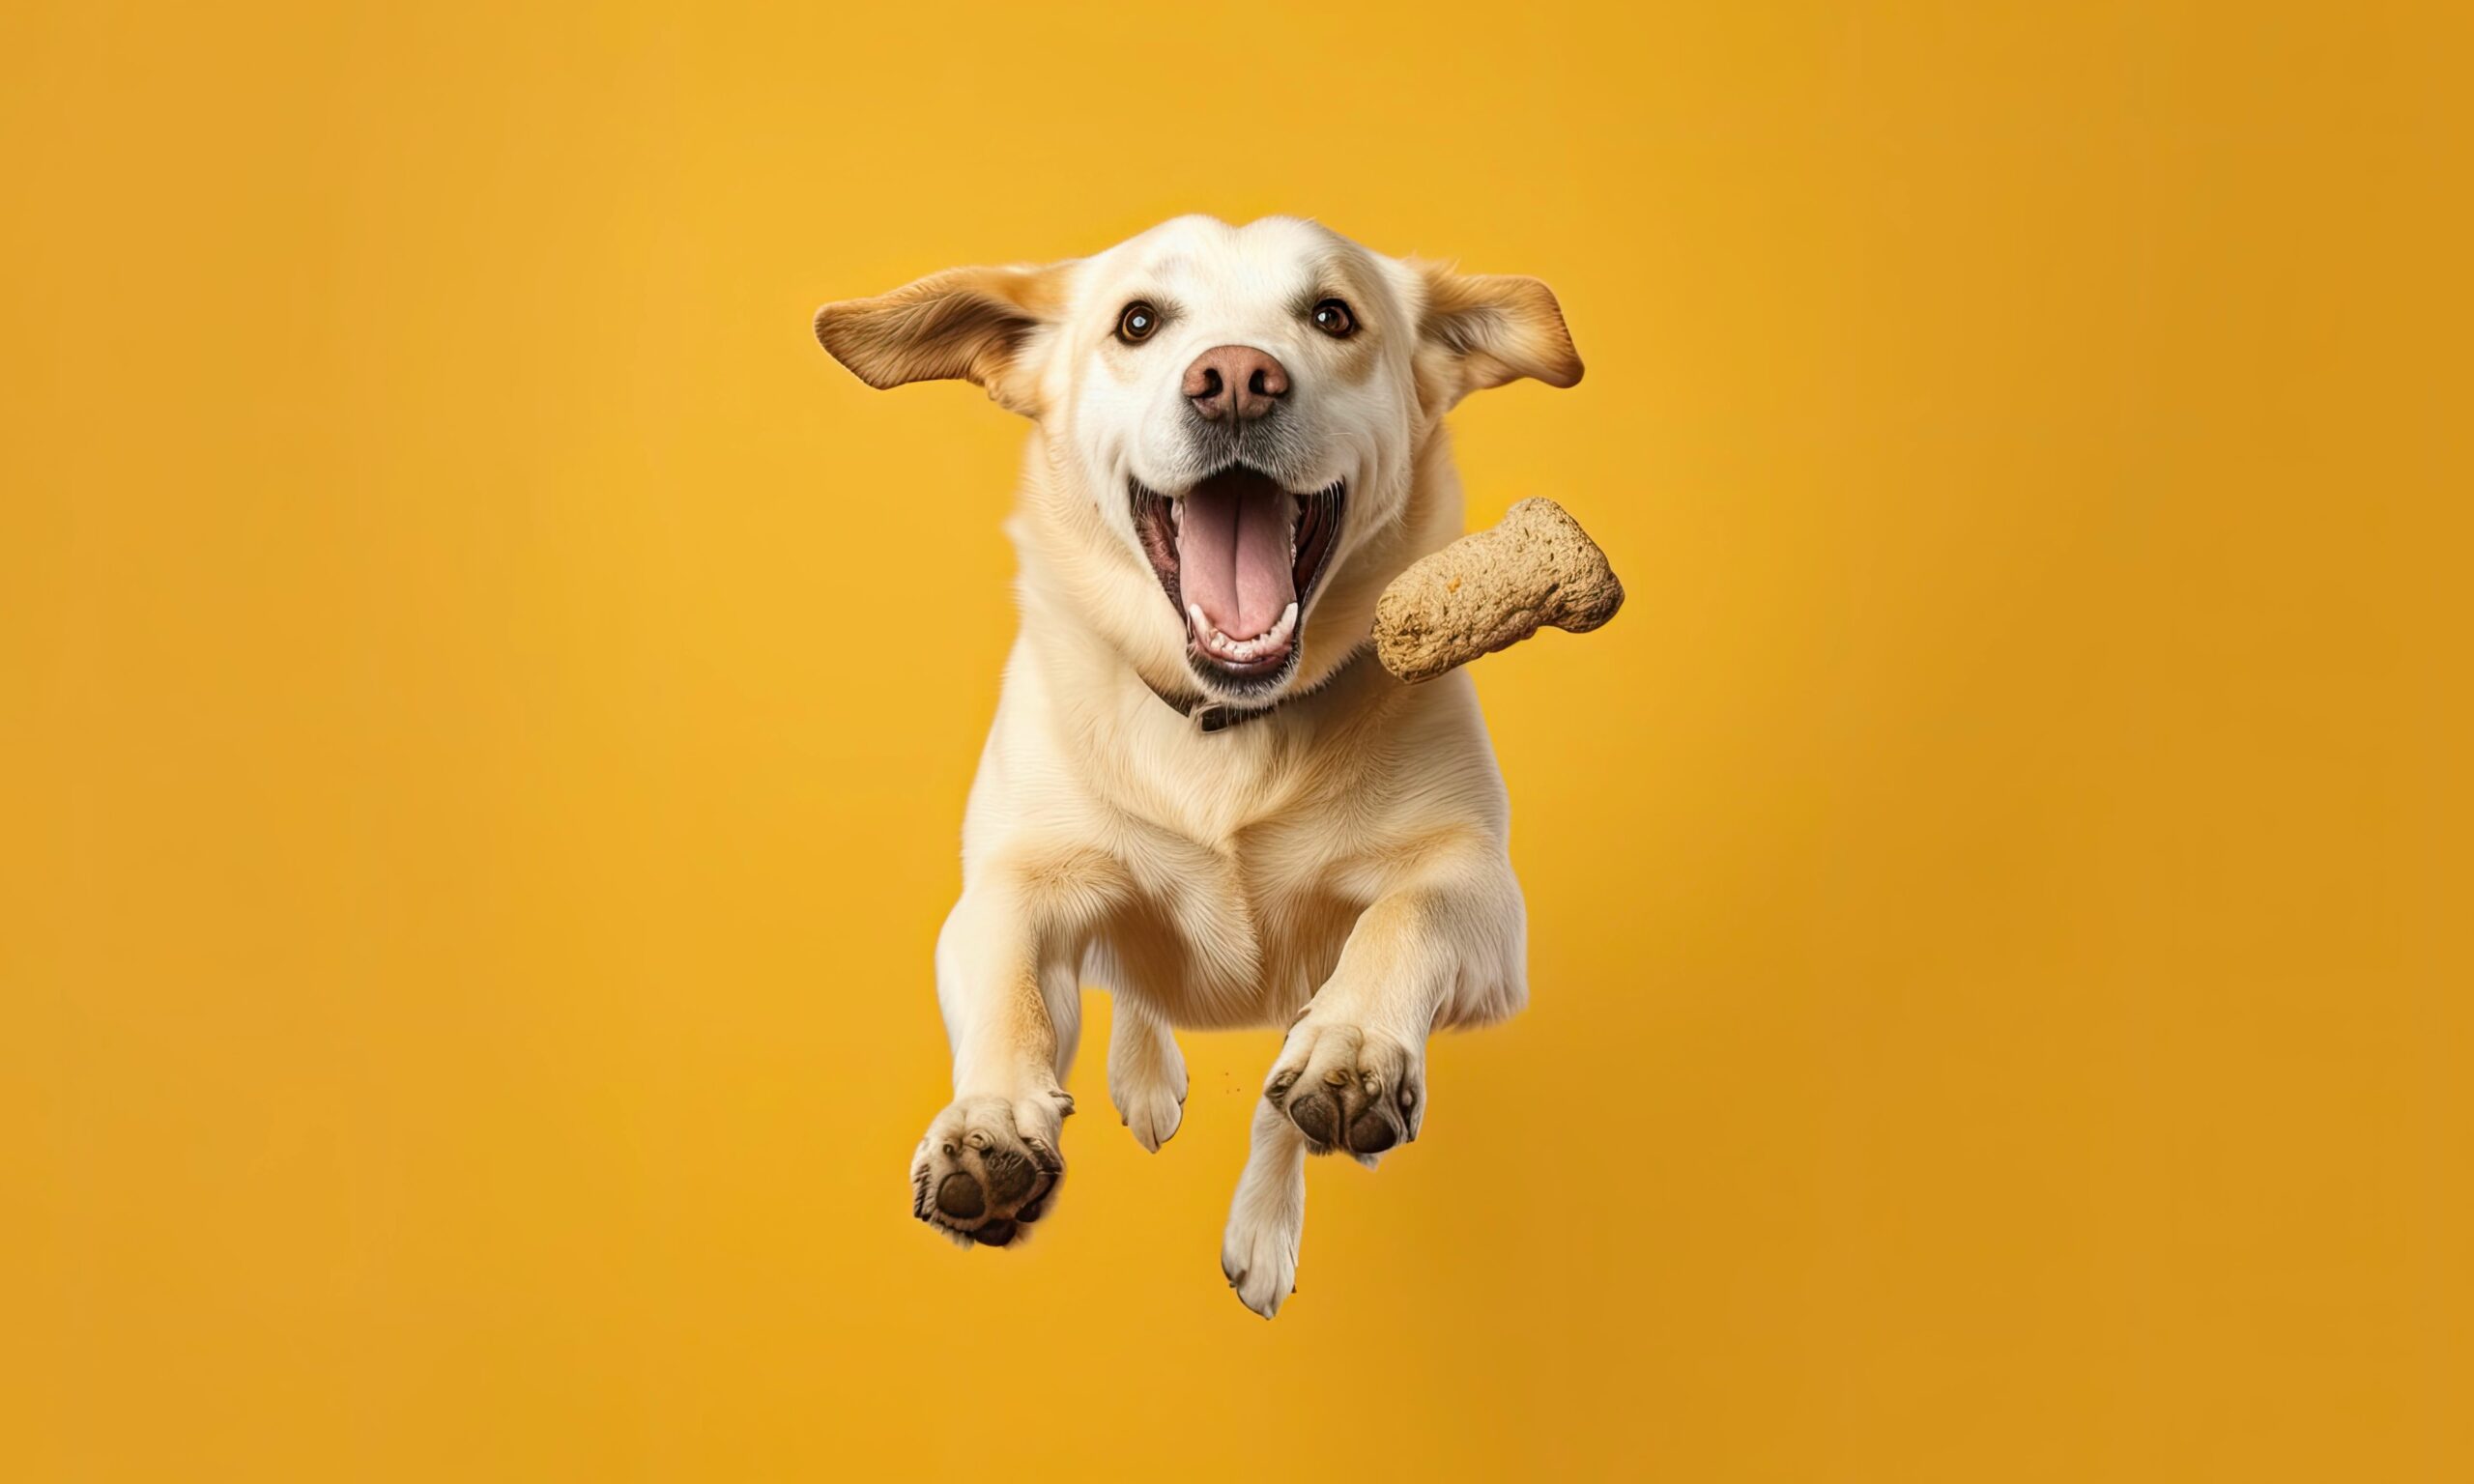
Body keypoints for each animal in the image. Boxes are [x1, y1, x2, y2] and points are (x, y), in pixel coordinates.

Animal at [811, 217, 1583, 1305]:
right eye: (1138, 322)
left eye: (1332, 315)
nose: (1235, 380)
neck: (1228, 728)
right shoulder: (1012, 885)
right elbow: (1009, 983)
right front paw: (988, 1121)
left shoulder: (1480, 893)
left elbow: (1402, 920)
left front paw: (1352, 1049)